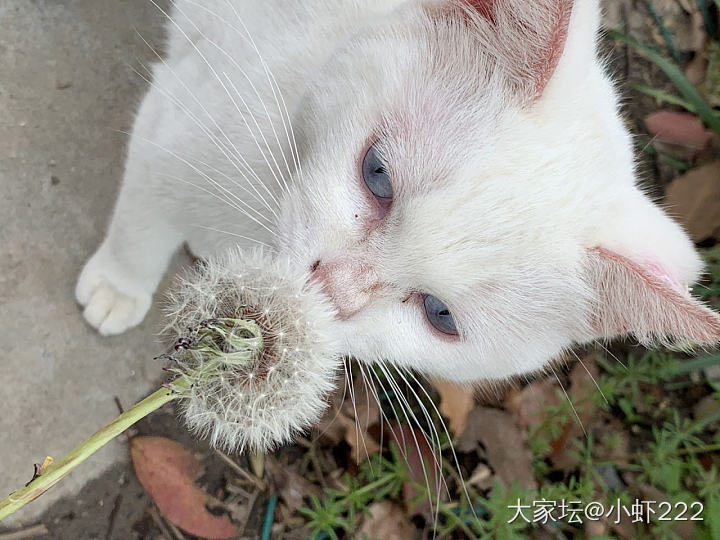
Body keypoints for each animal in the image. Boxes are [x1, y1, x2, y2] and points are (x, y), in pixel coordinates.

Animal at [74, 0, 720, 380]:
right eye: (377, 175)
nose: (332, 290)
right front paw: (118, 286)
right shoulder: (173, 119)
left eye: (440, 315)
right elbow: (140, 224)